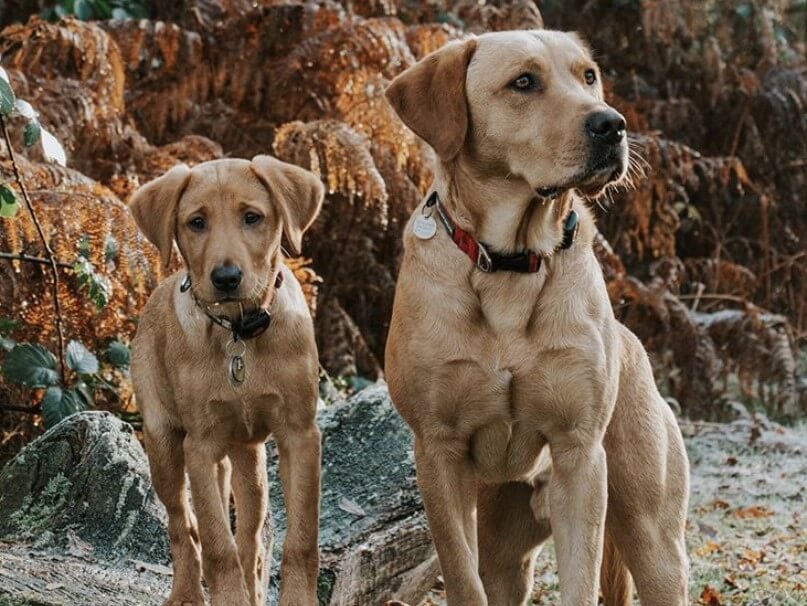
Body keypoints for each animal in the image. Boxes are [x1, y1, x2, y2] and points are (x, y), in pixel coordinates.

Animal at [129, 157, 326, 606]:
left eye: (251, 217)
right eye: (196, 222)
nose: (226, 278)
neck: (239, 333)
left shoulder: (300, 435)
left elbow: (301, 538)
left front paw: (297, 599)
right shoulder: (200, 447)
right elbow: (217, 544)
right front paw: (227, 597)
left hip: (249, 463)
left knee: (251, 539)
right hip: (164, 443)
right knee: (182, 524)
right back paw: (186, 593)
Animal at [386, 30, 688, 606]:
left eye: (589, 76)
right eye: (523, 82)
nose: (611, 124)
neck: (511, 259)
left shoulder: (579, 454)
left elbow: (580, 581)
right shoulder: (438, 453)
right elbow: (462, 577)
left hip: (652, 535)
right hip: (504, 549)